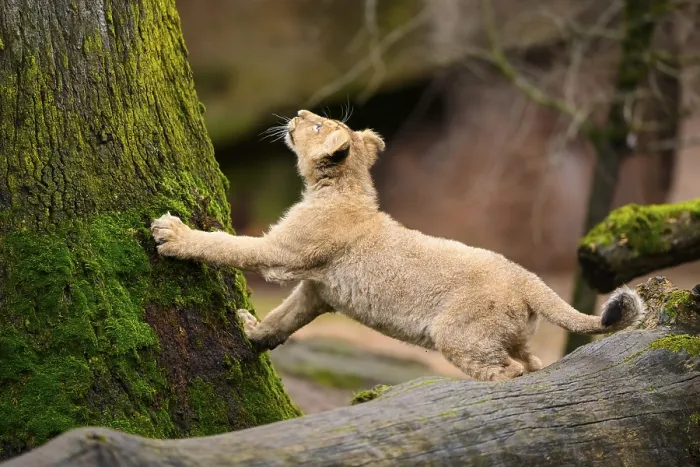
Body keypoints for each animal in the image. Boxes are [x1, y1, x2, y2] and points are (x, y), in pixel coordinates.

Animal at [151, 109, 645, 381]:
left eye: (317, 124)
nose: (298, 113)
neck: (340, 187)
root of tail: (527, 278)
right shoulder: (319, 290)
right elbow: (284, 317)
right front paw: (254, 331)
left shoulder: (284, 254)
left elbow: (228, 247)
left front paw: (172, 234)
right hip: (510, 334)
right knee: (535, 363)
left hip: (460, 335)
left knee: (510, 372)